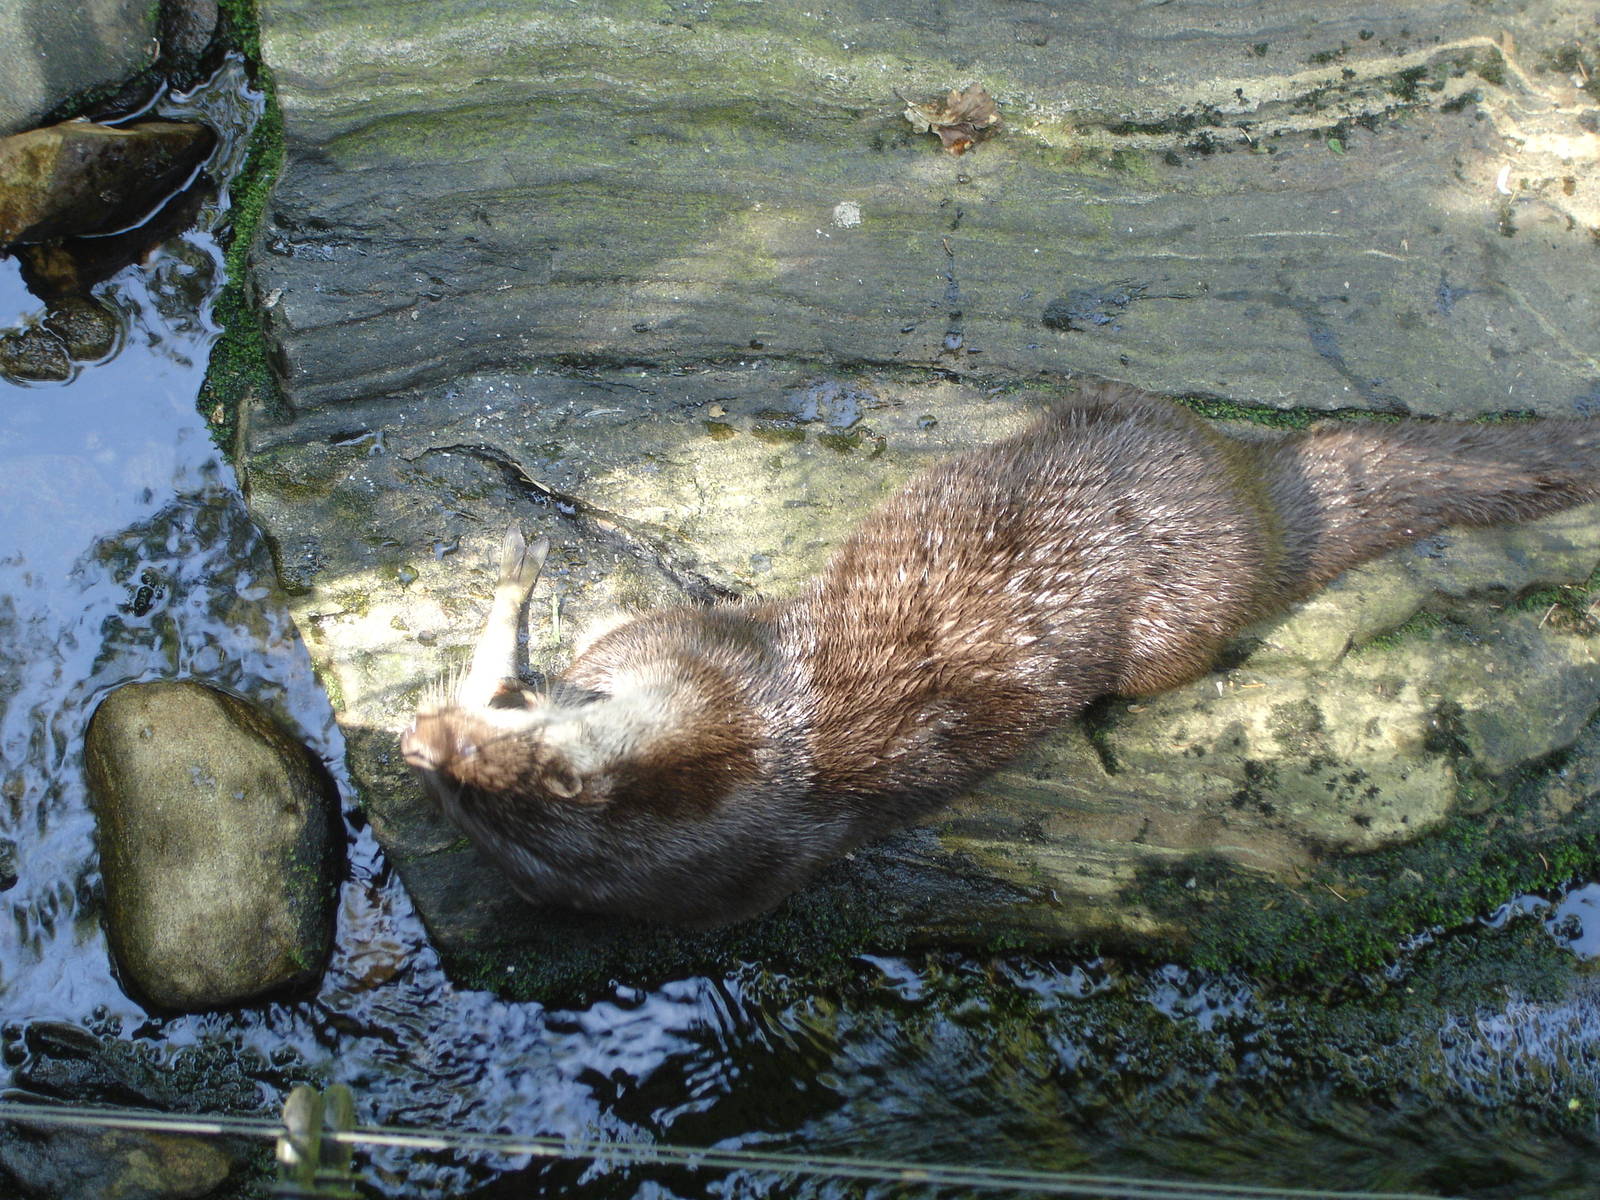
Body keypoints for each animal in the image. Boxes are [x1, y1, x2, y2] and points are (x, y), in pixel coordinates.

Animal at [402, 382, 1600, 926]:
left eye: (492, 738)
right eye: (471, 762)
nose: (418, 734)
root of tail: (1260, 497)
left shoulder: (693, 660)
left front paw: (516, 586)